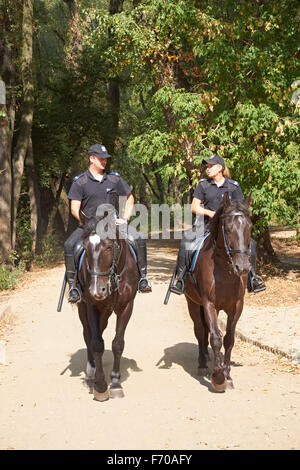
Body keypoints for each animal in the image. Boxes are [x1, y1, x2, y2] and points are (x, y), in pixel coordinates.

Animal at [77, 211, 139, 402]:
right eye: (85, 247)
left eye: (109, 247)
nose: (97, 290)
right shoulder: (91, 306)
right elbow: (96, 343)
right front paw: (101, 385)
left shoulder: (126, 307)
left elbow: (117, 344)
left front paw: (116, 383)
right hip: (83, 308)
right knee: (88, 334)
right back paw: (91, 371)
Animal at [185, 193, 253, 392]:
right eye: (228, 229)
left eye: (250, 227)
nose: (242, 267)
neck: (224, 269)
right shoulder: (209, 303)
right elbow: (215, 337)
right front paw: (218, 377)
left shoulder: (236, 306)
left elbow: (229, 339)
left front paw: (228, 375)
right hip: (193, 303)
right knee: (200, 331)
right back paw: (202, 364)